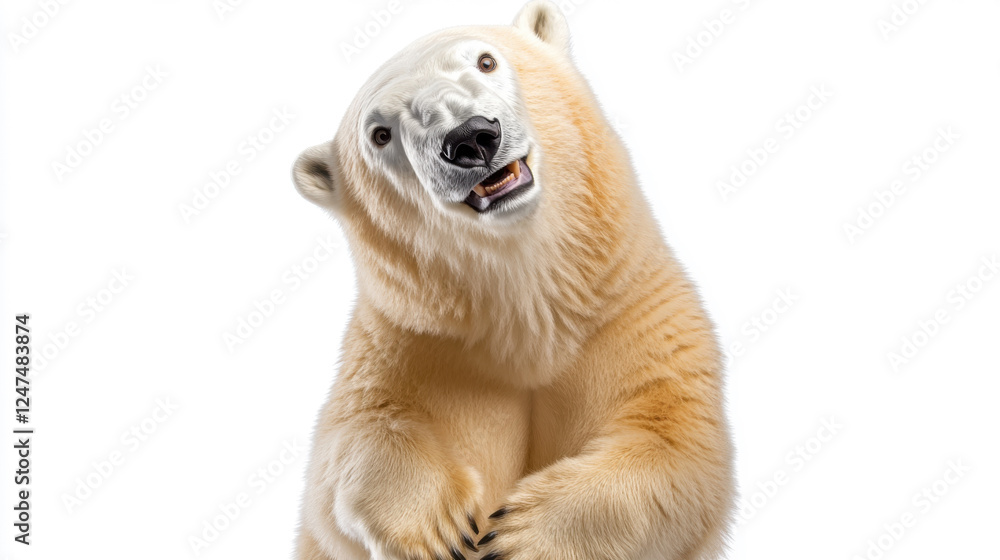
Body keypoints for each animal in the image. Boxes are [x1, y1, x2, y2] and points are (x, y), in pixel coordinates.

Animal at [291, 2, 734, 559]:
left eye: (486, 61)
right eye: (380, 134)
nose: (469, 138)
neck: (529, 312)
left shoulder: (634, 313)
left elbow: (677, 443)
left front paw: (523, 536)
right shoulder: (412, 341)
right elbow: (352, 442)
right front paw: (440, 529)